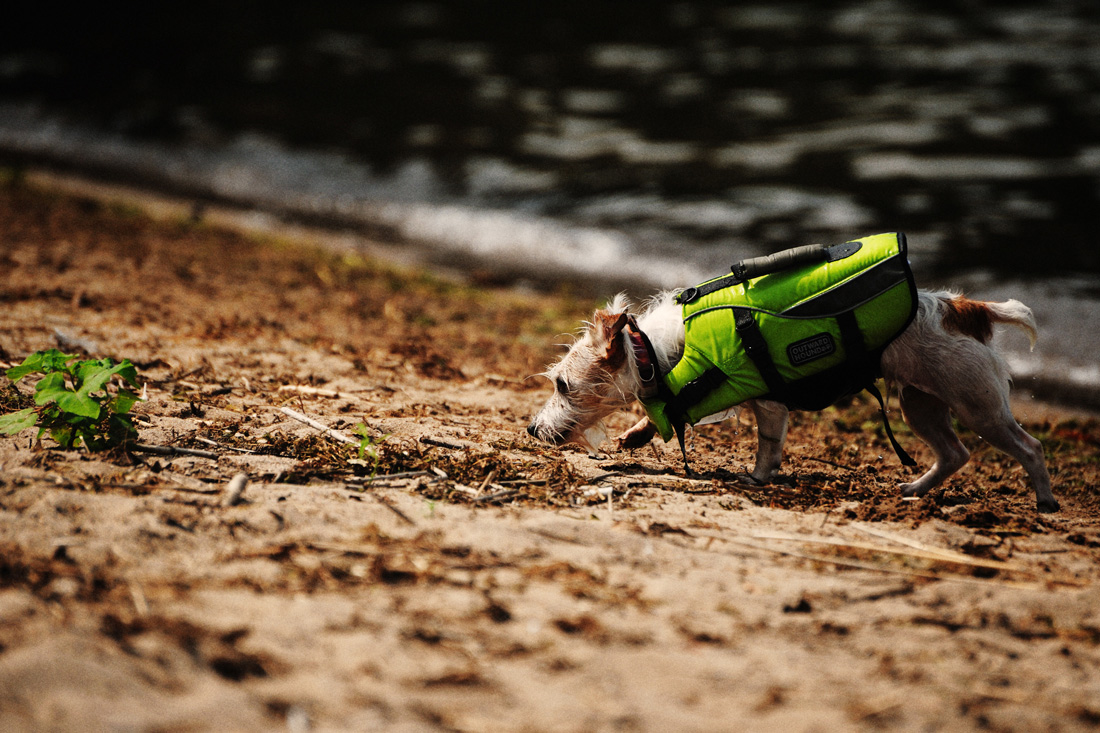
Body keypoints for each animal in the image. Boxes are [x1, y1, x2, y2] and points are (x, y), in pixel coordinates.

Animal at [528, 288, 1060, 510]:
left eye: (562, 386)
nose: (531, 428)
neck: (653, 353)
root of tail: (969, 310)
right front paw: (637, 434)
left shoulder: (768, 403)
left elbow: (768, 445)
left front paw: (758, 477)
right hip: (920, 405)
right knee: (954, 453)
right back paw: (914, 490)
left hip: (978, 406)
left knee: (1029, 448)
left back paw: (1046, 500)